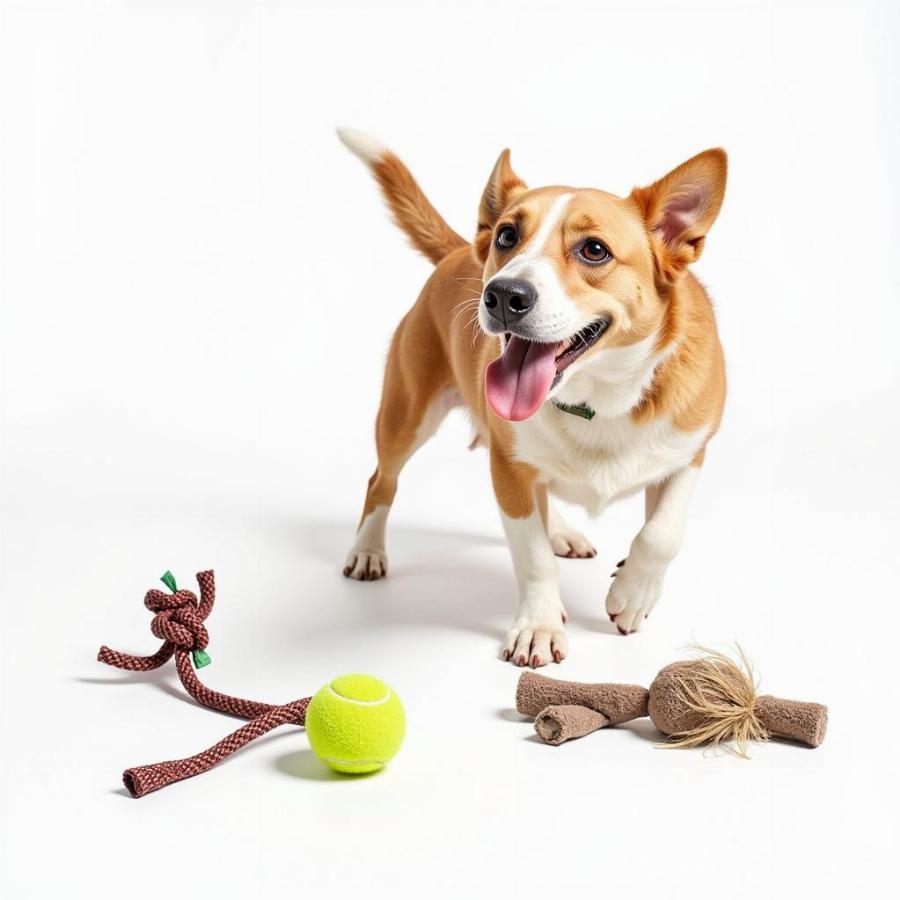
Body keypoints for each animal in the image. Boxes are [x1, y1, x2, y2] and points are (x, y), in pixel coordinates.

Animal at [336, 132, 724, 668]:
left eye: (594, 250)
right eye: (507, 237)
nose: (503, 295)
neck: (601, 398)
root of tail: (462, 249)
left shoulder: (691, 450)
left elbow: (662, 533)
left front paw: (633, 593)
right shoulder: (508, 467)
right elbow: (533, 557)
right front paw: (539, 626)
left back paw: (562, 530)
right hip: (406, 416)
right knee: (381, 481)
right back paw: (369, 550)